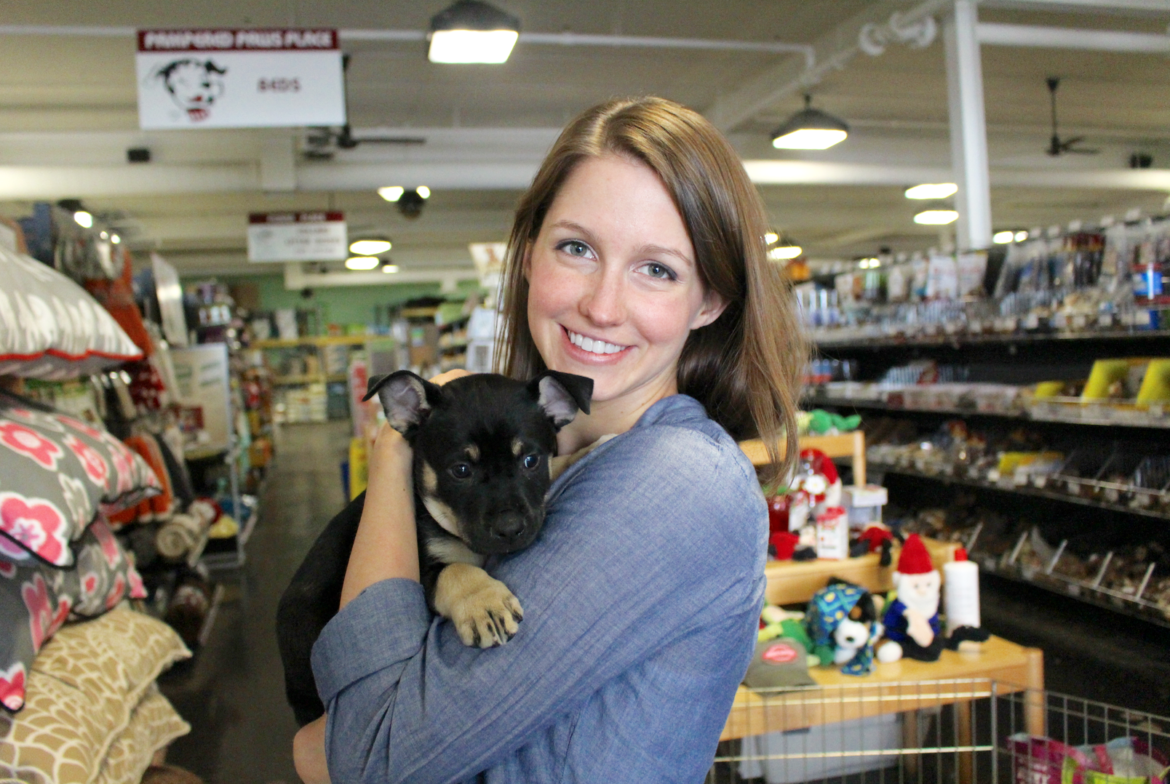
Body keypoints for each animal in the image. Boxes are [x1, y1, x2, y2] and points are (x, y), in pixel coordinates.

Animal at [276, 372, 594, 730]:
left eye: (531, 461)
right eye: (461, 470)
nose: (511, 528)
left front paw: (586, 449)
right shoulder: (424, 571)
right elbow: (456, 569)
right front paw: (484, 603)